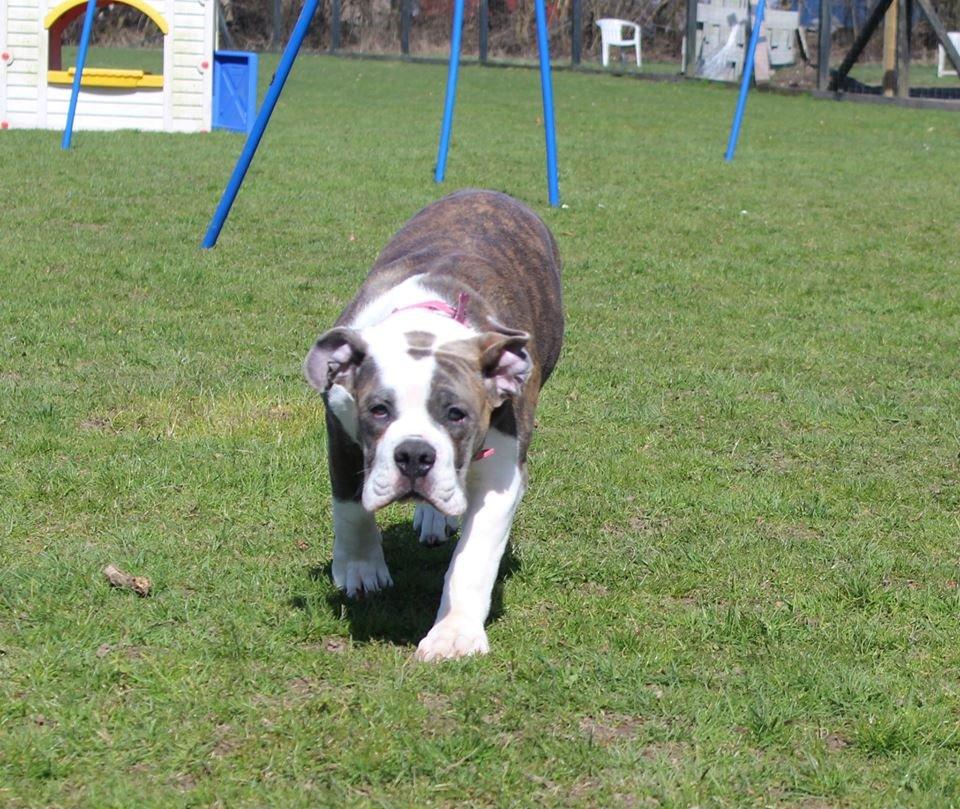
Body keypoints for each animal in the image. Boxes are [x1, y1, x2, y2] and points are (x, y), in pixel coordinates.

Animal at [306, 189, 564, 664]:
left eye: (456, 415)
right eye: (378, 411)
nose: (413, 454)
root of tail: (485, 191)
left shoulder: (502, 469)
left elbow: (474, 558)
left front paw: (454, 633)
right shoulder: (340, 428)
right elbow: (349, 506)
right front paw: (361, 570)